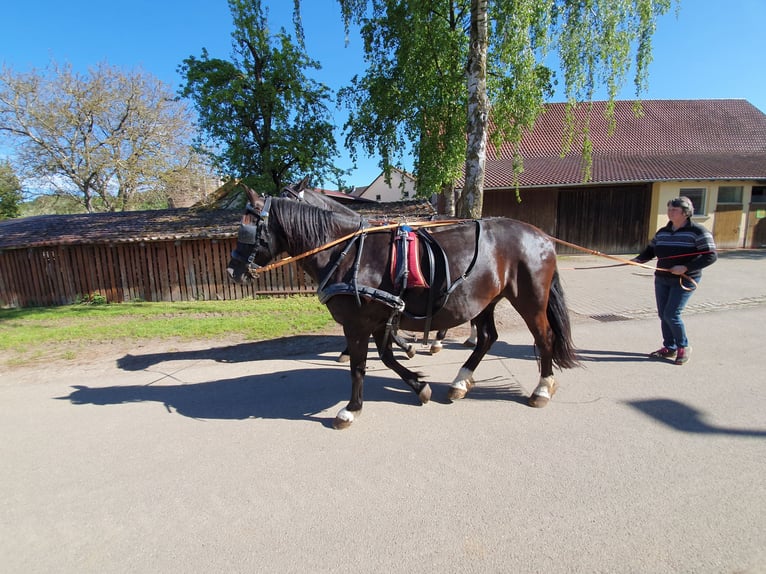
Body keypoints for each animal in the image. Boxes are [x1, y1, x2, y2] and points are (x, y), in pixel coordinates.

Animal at [225, 187, 580, 430]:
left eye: (247, 229)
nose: (232, 270)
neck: (348, 250)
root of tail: (542, 237)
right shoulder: (379, 318)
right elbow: (386, 357)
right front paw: (419, 386)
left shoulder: (358, 323)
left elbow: (359, 366)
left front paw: (351, 409)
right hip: (485, 301)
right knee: (486, 338)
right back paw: (460, 382)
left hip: (530, 300)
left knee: (544, 338)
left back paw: (541, 389)